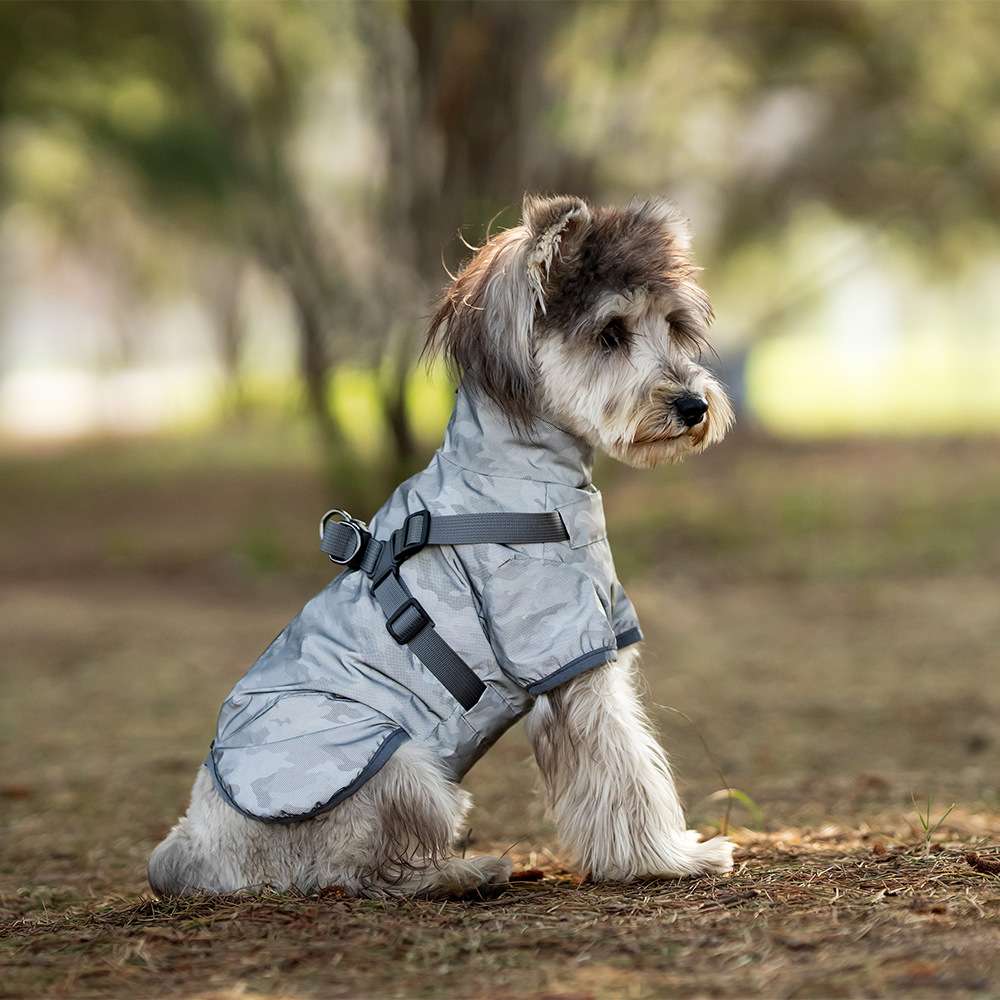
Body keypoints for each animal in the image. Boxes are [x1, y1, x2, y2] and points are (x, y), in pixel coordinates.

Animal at [152, 195, 740, 900]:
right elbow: (625, 770)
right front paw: (669, 858)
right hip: (394, 762)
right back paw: (468, 871)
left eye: (673, 325)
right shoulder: (568, 655)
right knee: (357, 871)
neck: (517, 476)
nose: (694, 404)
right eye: (610, 334)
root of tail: (194, 849)